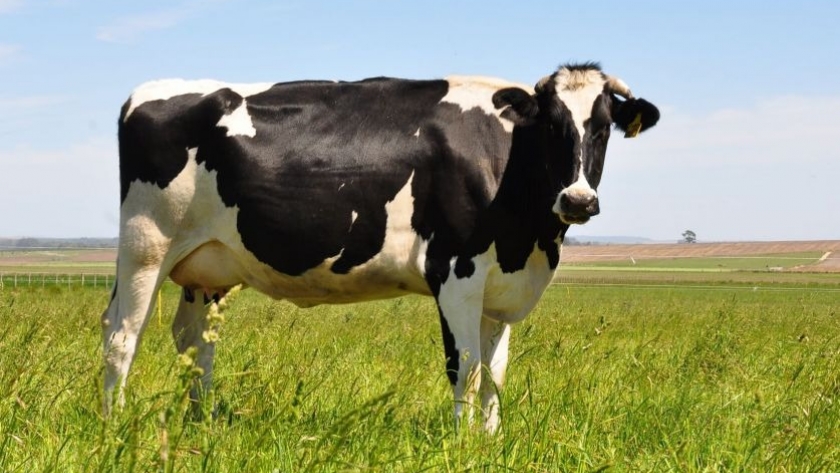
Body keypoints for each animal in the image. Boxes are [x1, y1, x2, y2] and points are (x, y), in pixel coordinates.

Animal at [102, 62, 659, 433]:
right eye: (551, 126)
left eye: (603, 128)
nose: (578, 200)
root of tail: (146, 92)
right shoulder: (455, 272)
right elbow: (465, 369)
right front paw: (461, 444)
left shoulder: (502, 287)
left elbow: (495, 374)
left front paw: (491, 440)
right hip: (146, 245)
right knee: (121, 335)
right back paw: (116, 424)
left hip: (208, 267)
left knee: (195, 342)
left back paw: (203, 424)